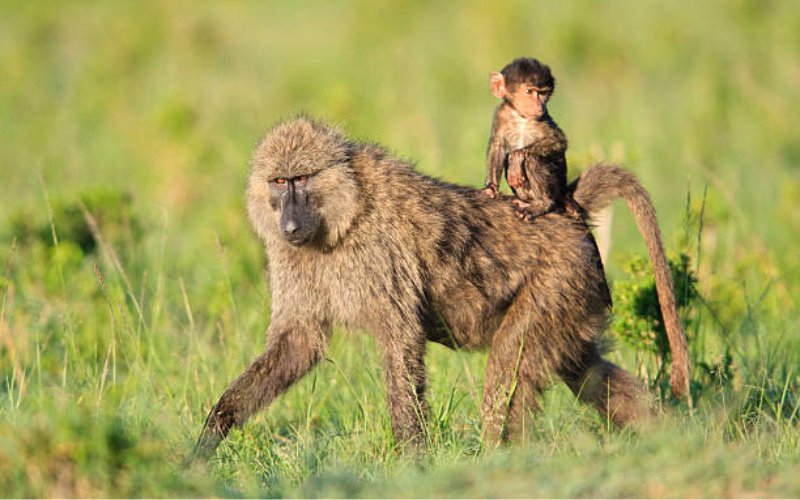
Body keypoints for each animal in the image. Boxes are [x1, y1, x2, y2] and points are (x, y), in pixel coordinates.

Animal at [194, 116, 689, 458]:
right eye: (278, 182)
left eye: (300, 180)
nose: (290, 225)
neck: (340, 215)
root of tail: (563, 212)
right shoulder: (290, 259)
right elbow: (298, 344)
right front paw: (211, 434)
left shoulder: (379, 256)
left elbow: (401, 342)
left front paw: (413, 462)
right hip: (574, 300)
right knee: (587, 374)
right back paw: (672, 438)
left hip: (557, 282)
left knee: (507, 368)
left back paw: (496, 465)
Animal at [481, 57, 570, 221]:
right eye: (529, 91)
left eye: (543, 93)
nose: (539, 105)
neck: (520, 117)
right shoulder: (501, 114)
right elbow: (497, 146)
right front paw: (490, 188)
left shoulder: (543, 118)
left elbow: (559, 141)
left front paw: (517, 156)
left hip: (557, 189)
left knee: (532, 160)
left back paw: (542, 204)